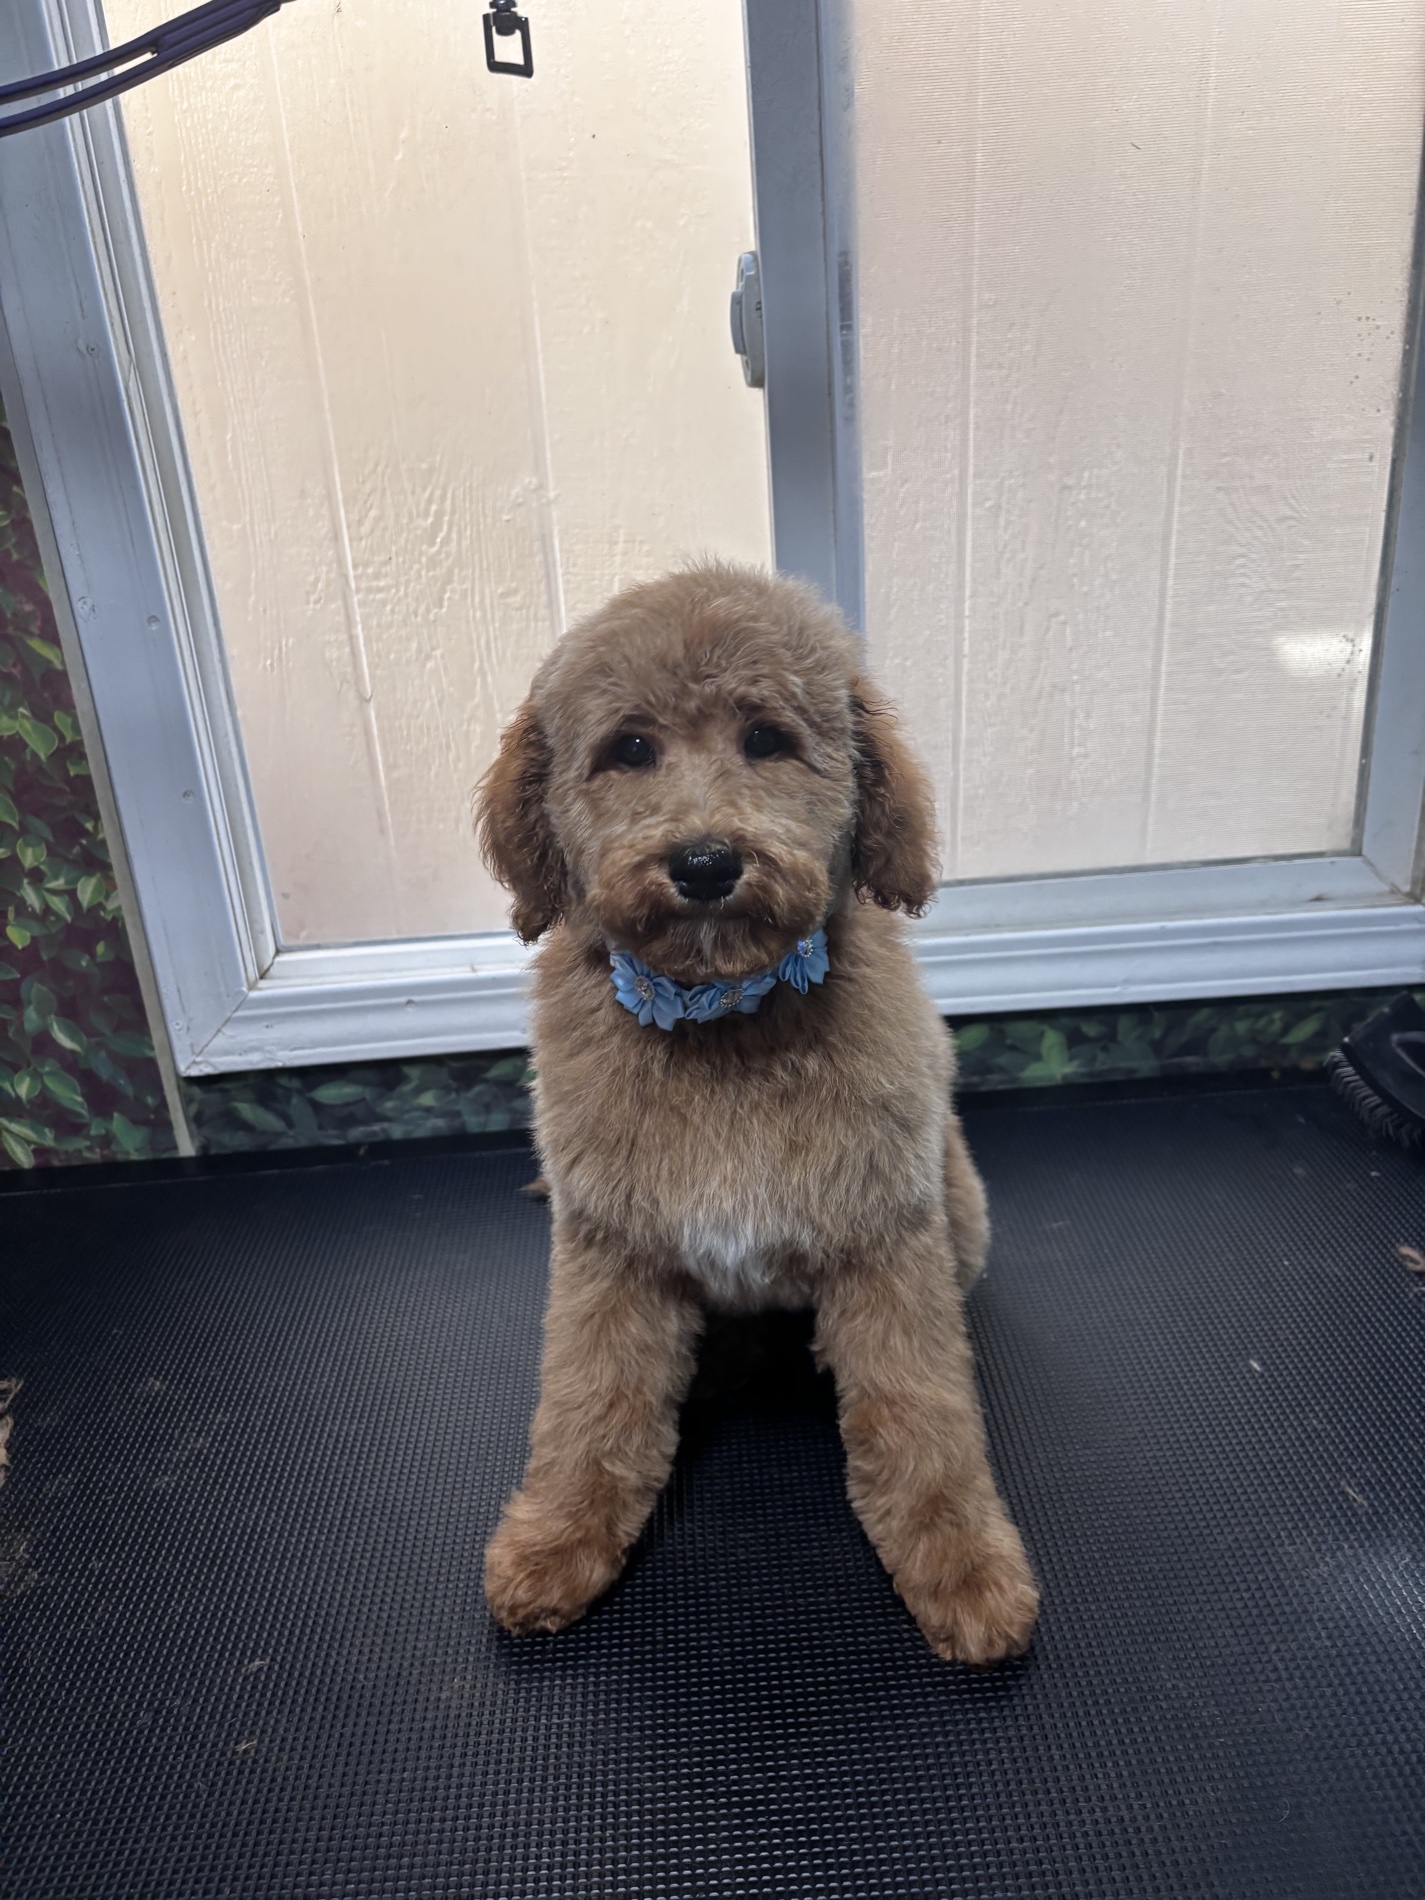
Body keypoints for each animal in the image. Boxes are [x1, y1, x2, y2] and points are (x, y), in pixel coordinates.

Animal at [475, 563, 1038, 1665]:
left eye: (767, 739)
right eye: (630, 748)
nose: (704, 862)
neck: (723, 1019)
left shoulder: (886, 1240)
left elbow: (924, 1417)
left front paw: (964, 1568)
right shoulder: (610, 1250)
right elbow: (587, 1406)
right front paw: (556, 1543)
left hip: (955, 1202)